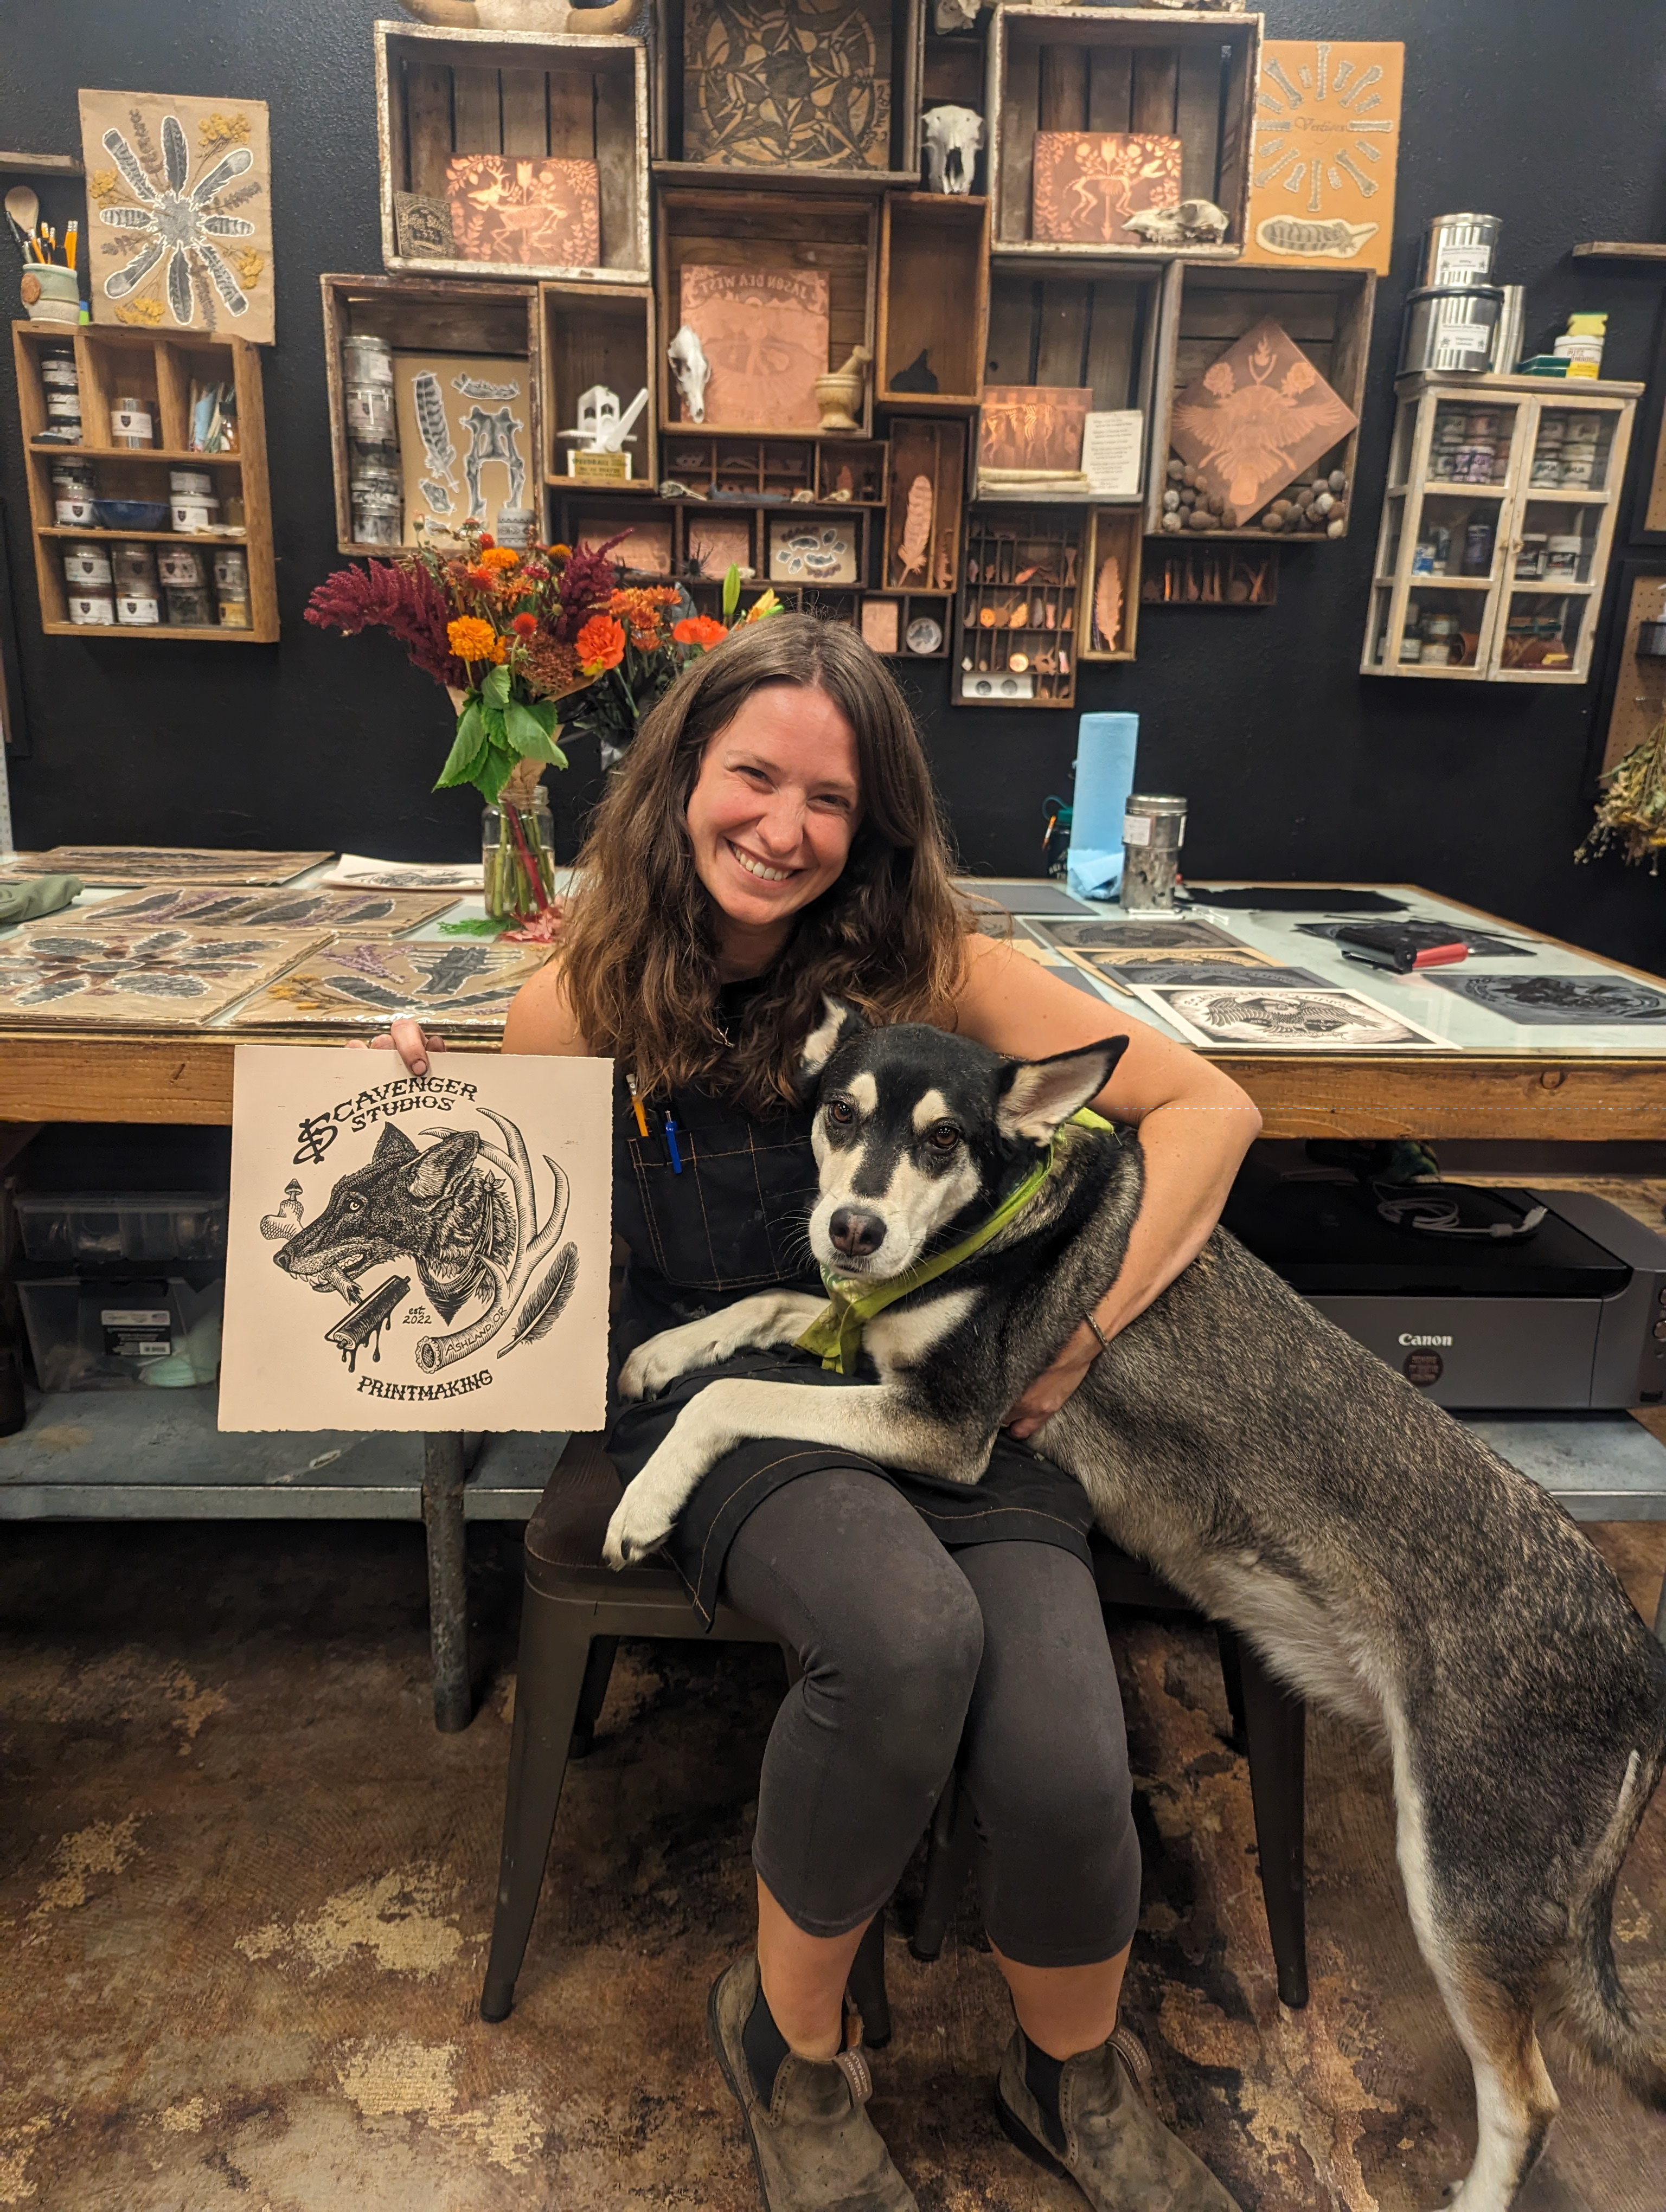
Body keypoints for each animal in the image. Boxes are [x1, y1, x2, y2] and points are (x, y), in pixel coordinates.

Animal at [606, 1008, 1663, 2212]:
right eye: (838, 1114)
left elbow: (738, 1394)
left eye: (942, 1140)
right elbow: (773, 1306)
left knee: (1527, 2099)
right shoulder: (872, 1340)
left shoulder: (946, 1428)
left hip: (1457, 1881)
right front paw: (658, 1351)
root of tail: (1637, 1661)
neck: (992, 1225)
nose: (854, 1228)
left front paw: (645, 1499)